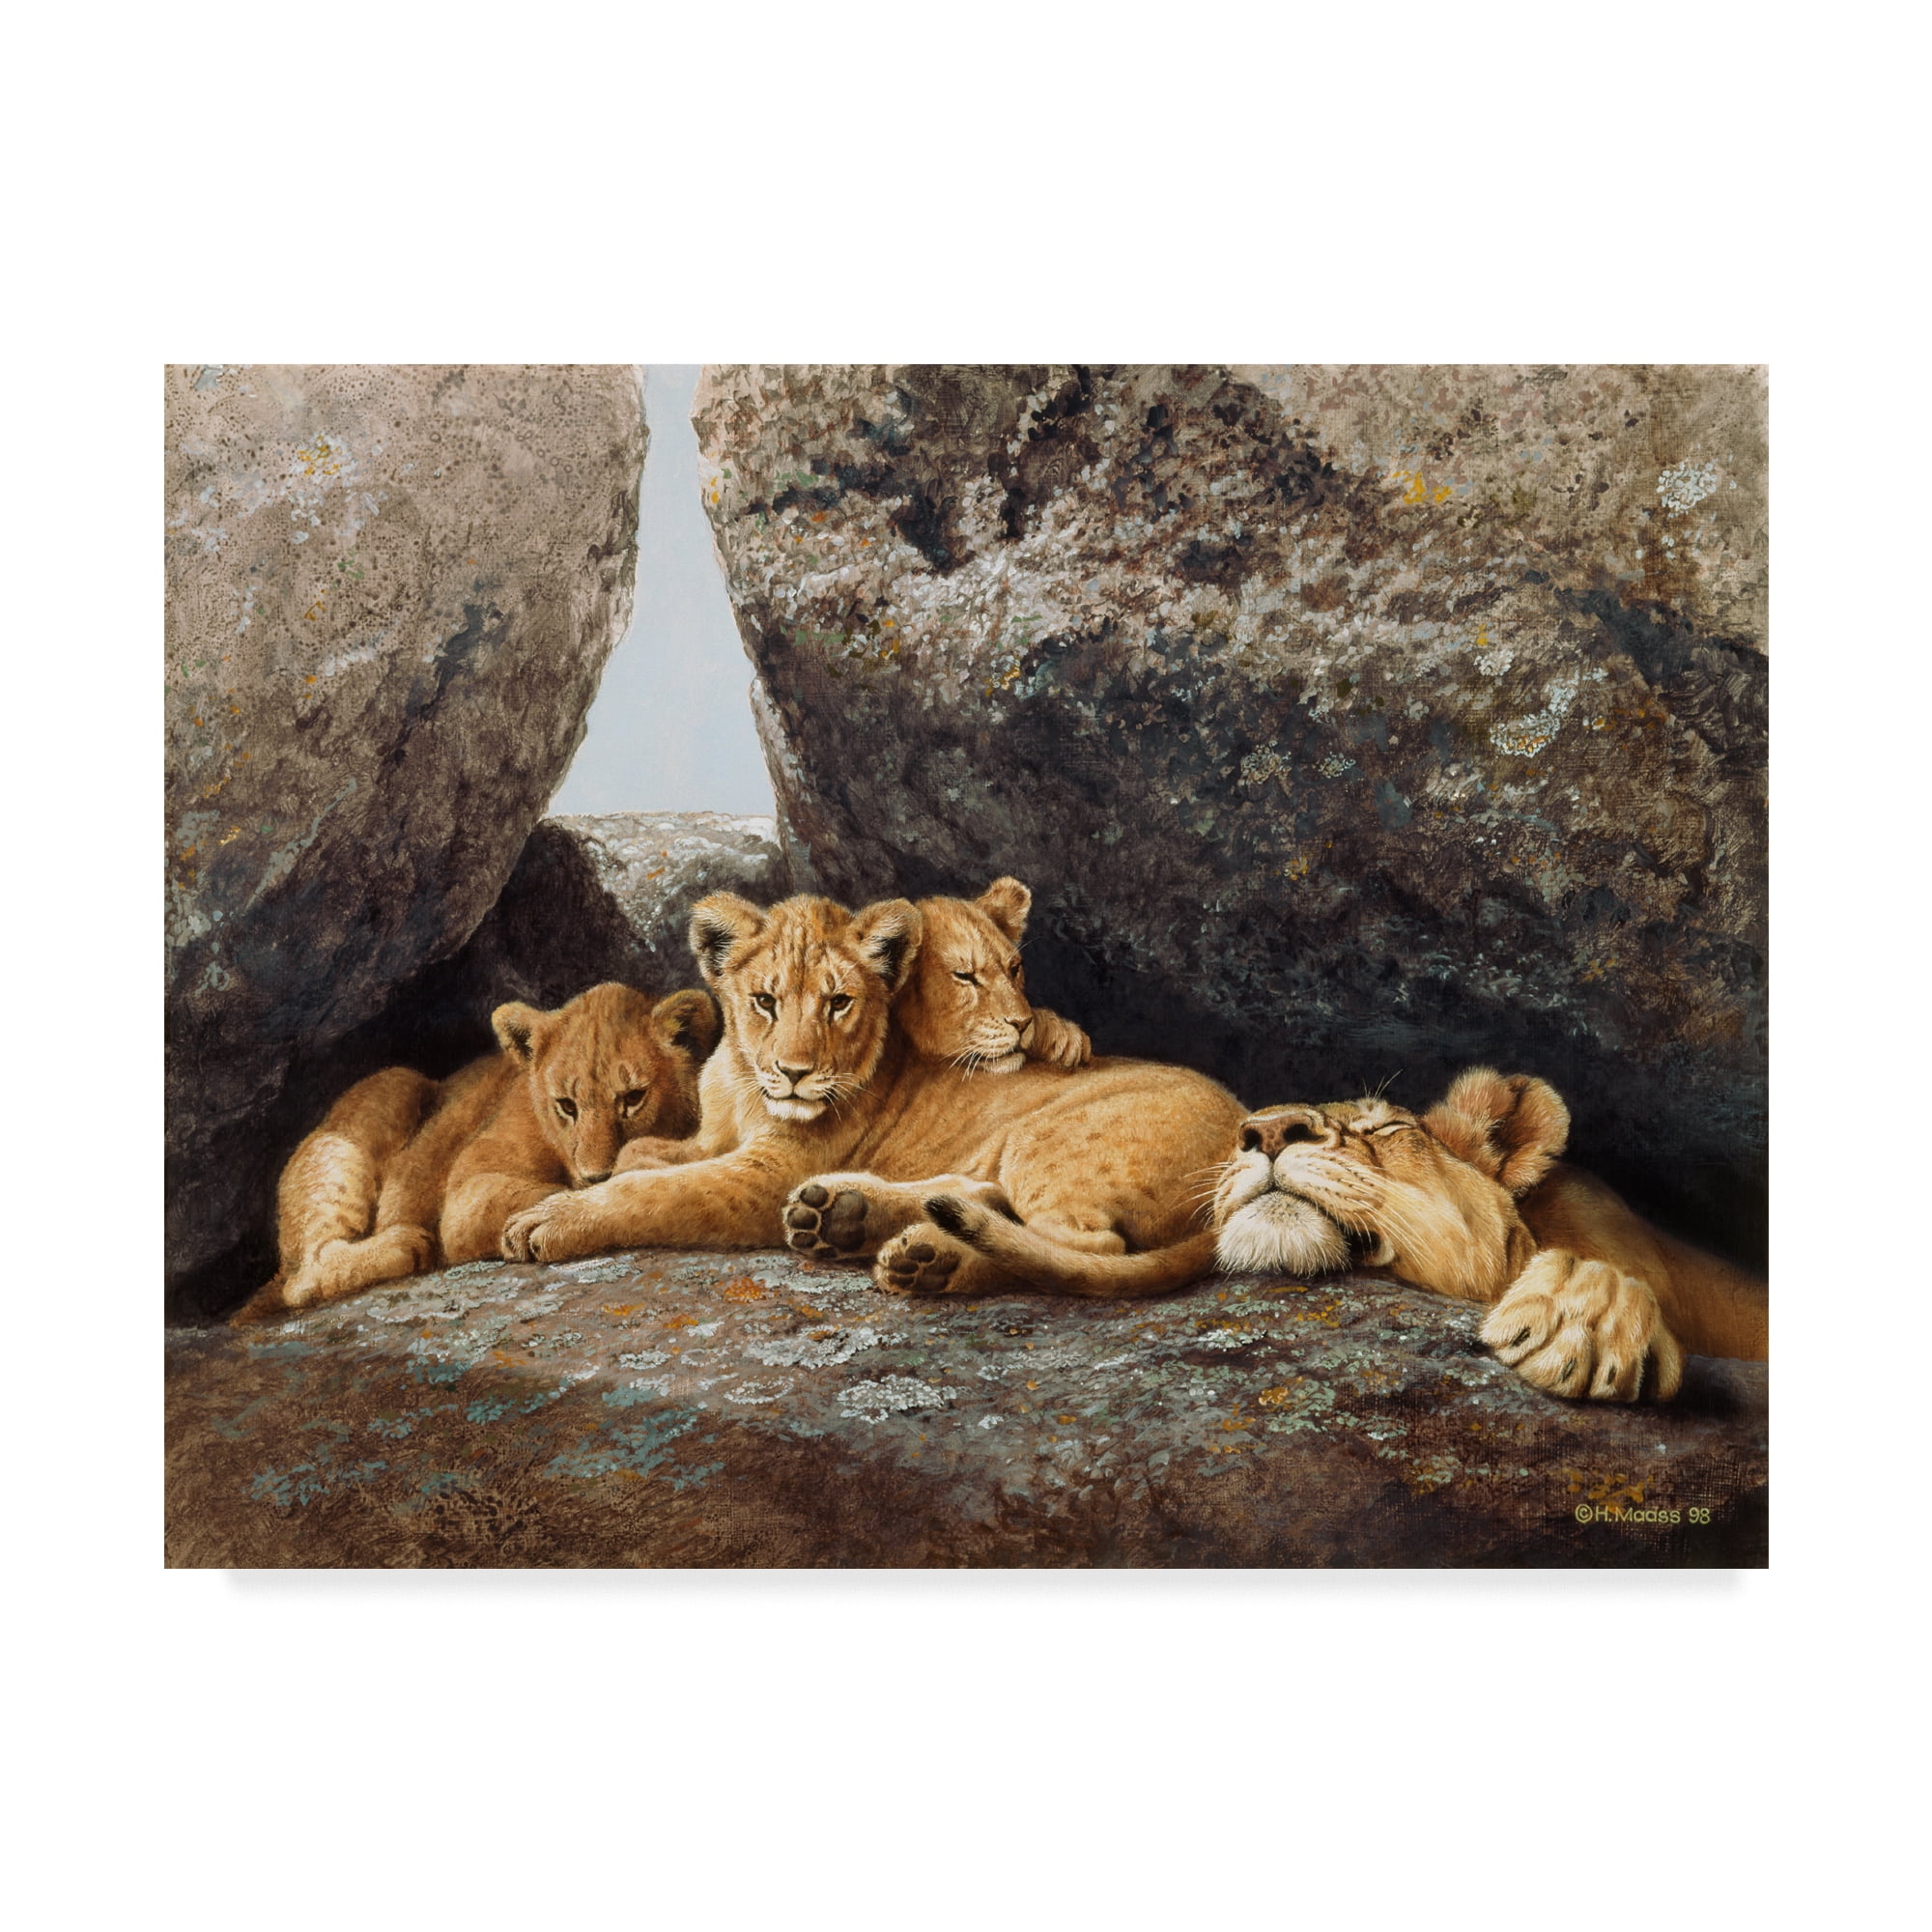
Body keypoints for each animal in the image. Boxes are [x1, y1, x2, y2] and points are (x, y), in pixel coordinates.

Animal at [230, 982, 720, 1325]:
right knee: (303, 1280)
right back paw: (408, 1244)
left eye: (633, 1098)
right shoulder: (469, 1194)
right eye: (566, 1105)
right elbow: (533, 1196)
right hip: (389, 1088)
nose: (596, 1175)